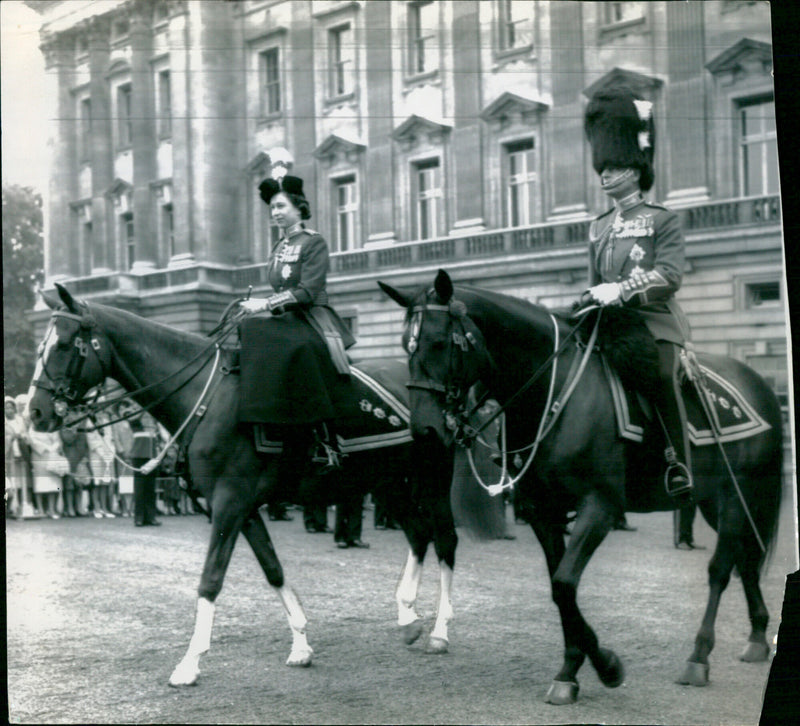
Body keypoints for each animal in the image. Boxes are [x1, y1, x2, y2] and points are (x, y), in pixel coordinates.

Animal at [29, 284, 462, 688]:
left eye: (64, 344)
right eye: (42, 345)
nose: (36, 411)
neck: (206, 398)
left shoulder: (230, 503)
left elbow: (211, 578)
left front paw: (190, 662)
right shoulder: (242, 507)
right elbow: (273, 569)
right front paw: (300, 643)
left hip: (432, 482)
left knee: (444, 541)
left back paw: (440, 631)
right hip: (386, 483)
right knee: (419, 534)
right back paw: (407, 615)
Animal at [380, 270, 780, 708]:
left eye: (439, 342)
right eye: (405, 345)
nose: (424, 430)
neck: (554, 393)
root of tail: (757, 381)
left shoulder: (600, 507)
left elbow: (564, 584)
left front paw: (606, 666)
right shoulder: (544, 513)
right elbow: (560, 589)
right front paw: (573, 670)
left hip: (737, 496)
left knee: (721, 570)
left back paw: (699, 656)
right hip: (716, 501)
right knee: (745, 562)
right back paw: (758, 636)